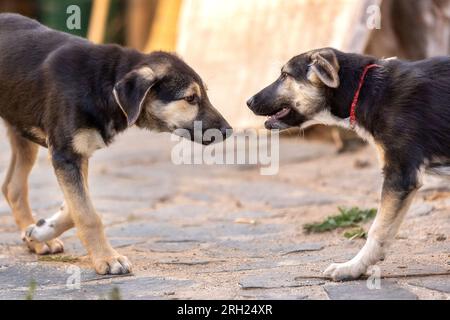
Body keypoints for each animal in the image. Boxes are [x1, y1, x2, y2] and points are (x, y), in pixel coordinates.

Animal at [0, 13, 232, 276]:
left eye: (205, 94)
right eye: (190, 98)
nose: (228, 130)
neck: (102, 82)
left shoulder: (79, 154)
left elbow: (75, 208)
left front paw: (40, 231)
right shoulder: (65, 154)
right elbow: (88, 214)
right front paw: (107, 258)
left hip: (20, 126)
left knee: (13, 187)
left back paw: (37, 241)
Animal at [248, 47, 450, 280]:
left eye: (285, 75)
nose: (248, 101)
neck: (366, 89)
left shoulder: (400, 175)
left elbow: (378, 229)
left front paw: (353, 267)